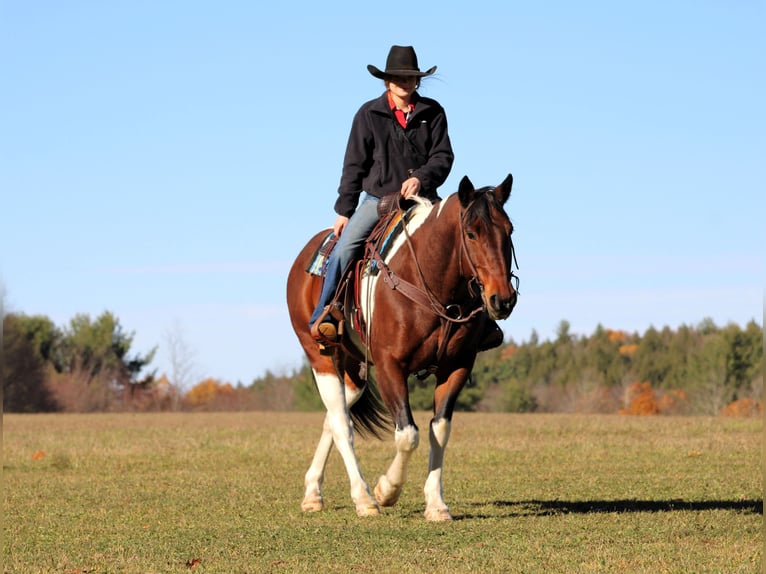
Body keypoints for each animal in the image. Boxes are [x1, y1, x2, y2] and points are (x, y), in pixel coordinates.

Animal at [285, 174, 517, 521]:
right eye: (471, 233)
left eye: (509, 230)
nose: (502, 299)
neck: (434, 287)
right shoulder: (390, 367)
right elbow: (408, 434)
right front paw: (387, 490)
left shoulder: (457, 367)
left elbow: (439, 429)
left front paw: (436, 503)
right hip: (321, 355)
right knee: (341, 423)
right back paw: (364, 498)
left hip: (353, 369)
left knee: (333, 416)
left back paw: (313, 492)